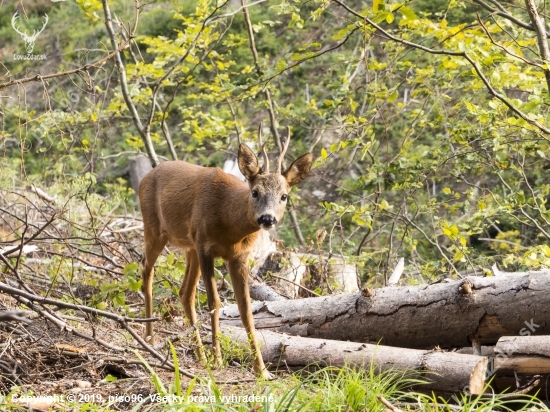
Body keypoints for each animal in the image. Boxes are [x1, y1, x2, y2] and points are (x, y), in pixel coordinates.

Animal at [140, 127, 312, 378]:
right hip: (155, 230)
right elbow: (215, 302)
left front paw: (262, 370)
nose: (267, 218)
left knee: (185, 293)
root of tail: (145, 178)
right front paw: (218, 360)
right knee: (146, 271)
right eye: (255, 192)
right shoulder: (206, 246)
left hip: (190, 247)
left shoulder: (239, 257)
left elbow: (246, 310)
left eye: (284, 196)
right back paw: (150, 338)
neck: (231, 224)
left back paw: (200, 355)